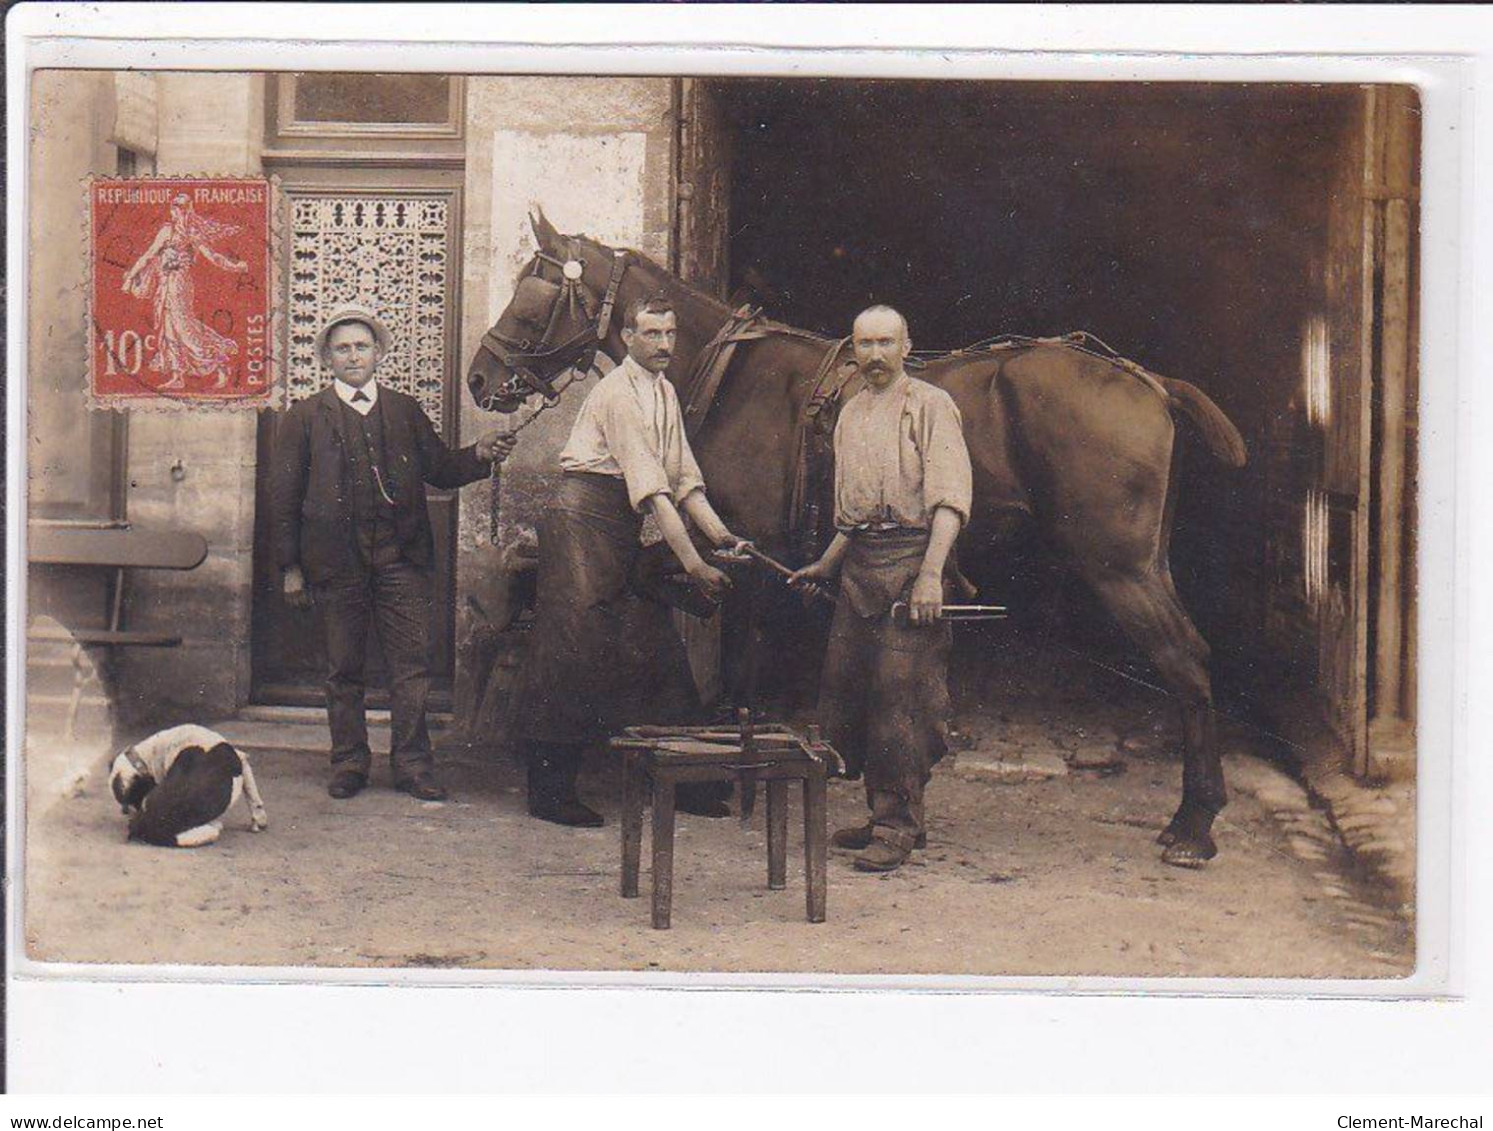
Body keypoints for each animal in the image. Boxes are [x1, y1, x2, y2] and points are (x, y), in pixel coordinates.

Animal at [110, 725, 268, 847]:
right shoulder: (243, 760)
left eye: (132, 801)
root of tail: (144, 826)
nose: (125, 812)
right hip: (204, 833)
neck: (151, 754)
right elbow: (253, 795)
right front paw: (259, 821)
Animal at [465, 210, 1248, 865]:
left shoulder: (751, 548)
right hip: (1146, 563)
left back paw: (1191, 823)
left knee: (1185, 663)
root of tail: (1148, 381)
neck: (732, 375)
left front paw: (727, 773)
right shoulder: (752, 548)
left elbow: (737, 659)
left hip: (1119, 568)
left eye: (531, 295)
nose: (480, 376)